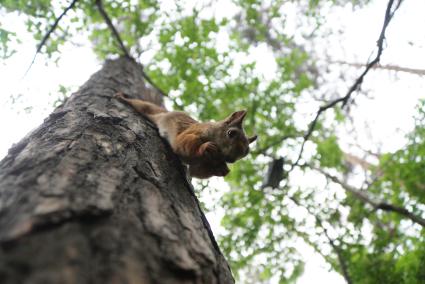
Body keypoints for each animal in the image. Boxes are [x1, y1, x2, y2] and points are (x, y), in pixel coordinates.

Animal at [112, 92, 256, 179]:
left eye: (247, 151)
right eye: (231, 133)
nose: (232, 160)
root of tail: (166, 112)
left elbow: (196, 171)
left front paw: (223, 170)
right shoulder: (194, 132)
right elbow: (182, 143)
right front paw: (205, 147)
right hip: (151, 111)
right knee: (144, 106)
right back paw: (123, 98)